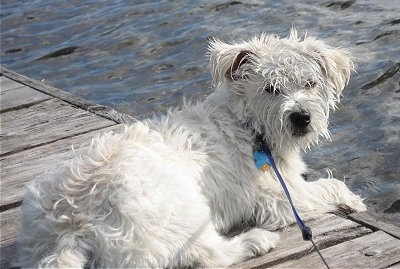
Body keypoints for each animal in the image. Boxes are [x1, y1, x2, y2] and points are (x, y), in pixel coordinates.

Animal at [18, 29, 366, 266]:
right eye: (270, 89)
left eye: (310, 84)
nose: (301, 118)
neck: (249, 126)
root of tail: (73, 224)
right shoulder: (281, 197)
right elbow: (332, 186)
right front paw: (354, 202)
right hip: (187, 210)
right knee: (211, 255)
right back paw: (256, 240)